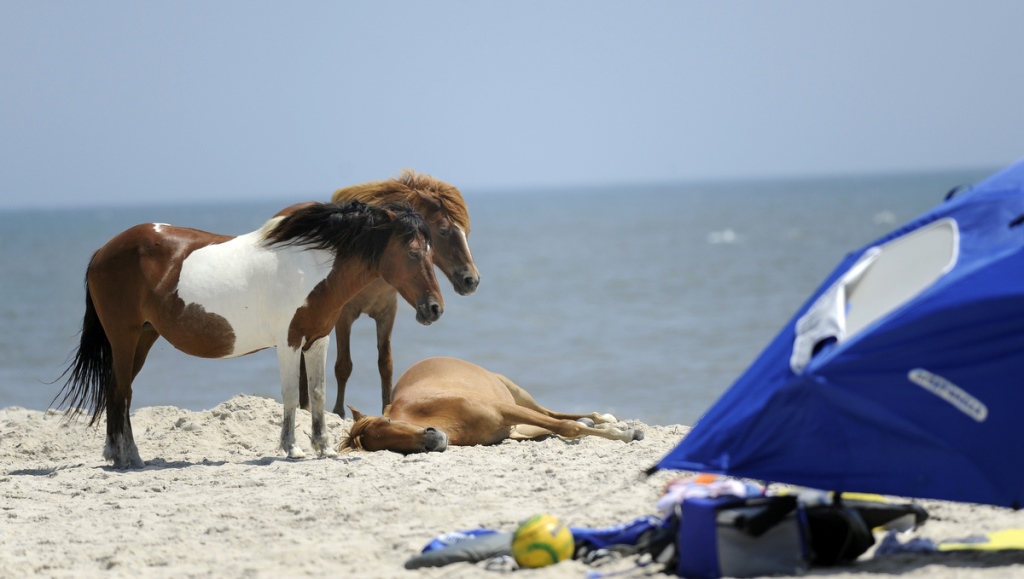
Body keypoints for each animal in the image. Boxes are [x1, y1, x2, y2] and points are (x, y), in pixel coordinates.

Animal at [55, 200, 440, 467]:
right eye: (413, 252)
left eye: (431, 252)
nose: (435, 308)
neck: (310, 264)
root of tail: (104, 251)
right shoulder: (289, 342)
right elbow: (290, 395)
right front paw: (292, 448)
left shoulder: (318, 340)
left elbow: (317, 393)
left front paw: (323, 447)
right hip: (124, 338)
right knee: (119, 391)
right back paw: (124, 457)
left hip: (144, 338)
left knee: (119, 391)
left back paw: (125, 456)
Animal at [290, 169, 477, 418]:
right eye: (444, 231)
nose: (471, 280)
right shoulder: (344, 317)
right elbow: (343, 365)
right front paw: (338, 411)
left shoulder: (387, 314)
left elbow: (385, 364)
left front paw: (387, 409)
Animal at [339, 354, 638, 452]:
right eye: (386, 446)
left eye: (388, 419)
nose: (432, 439)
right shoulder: (508, 427)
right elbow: (563, 428)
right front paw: (620, 433)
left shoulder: (505, 409)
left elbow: (566, 426)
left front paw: (622, 434)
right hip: (517, 424)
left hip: (518, 396)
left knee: (552, 413)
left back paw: (604, 419)